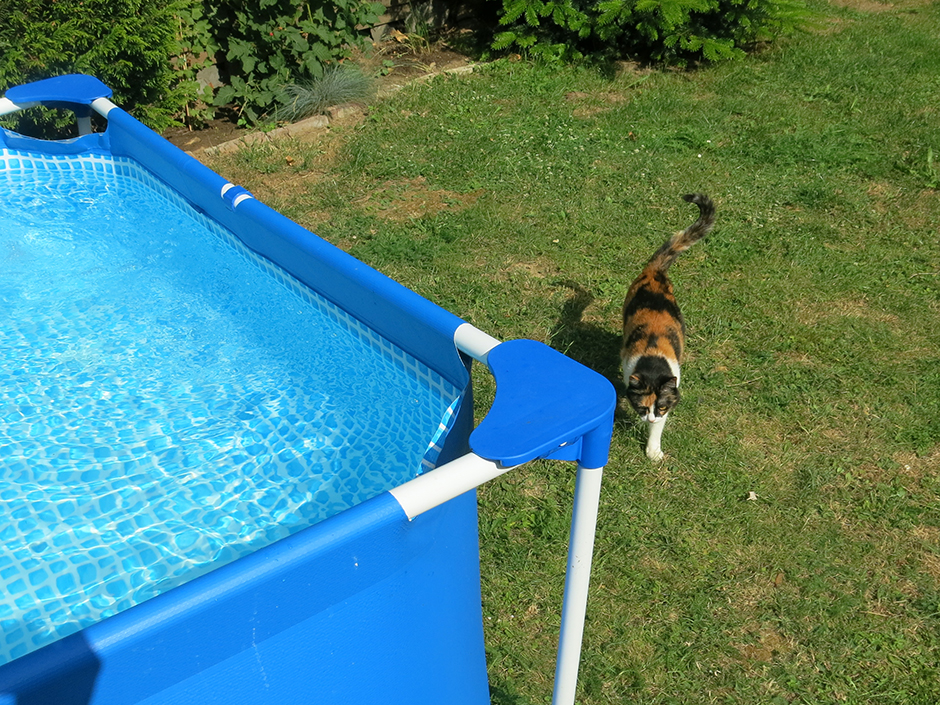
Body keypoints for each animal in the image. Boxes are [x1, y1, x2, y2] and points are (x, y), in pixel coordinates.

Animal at [620, 192, 716, 460]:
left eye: (661, 408)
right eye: (643, 408)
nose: (651, 419)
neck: (653, 363)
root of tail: (654, 272)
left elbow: (658, 431)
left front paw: (653, 451)